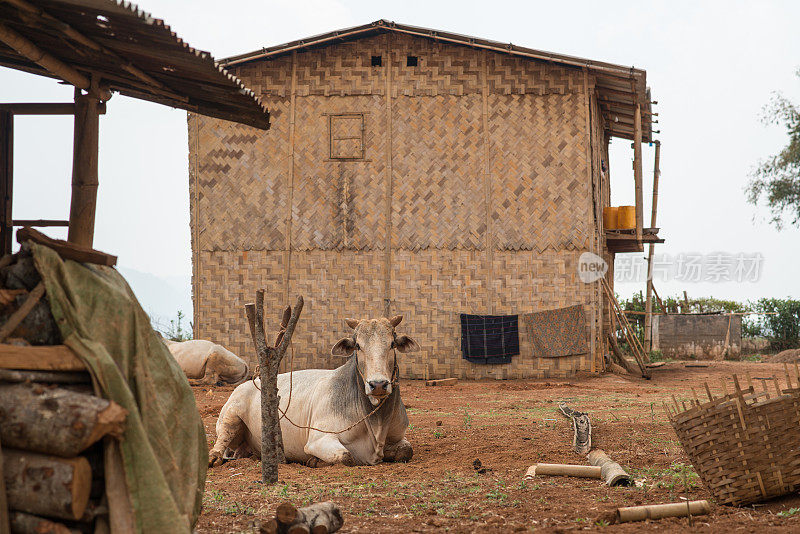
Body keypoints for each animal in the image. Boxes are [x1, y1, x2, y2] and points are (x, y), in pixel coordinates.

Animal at [208, 316, 418, 466]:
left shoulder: (398, 437)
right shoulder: (319, 439)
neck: (376, 422)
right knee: (221, 440)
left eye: (392, 344)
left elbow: (406, 451)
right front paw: (314, 461)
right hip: (230, 416)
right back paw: (214, 457)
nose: (378, 384)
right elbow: (346, 457)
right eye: (358, 345)